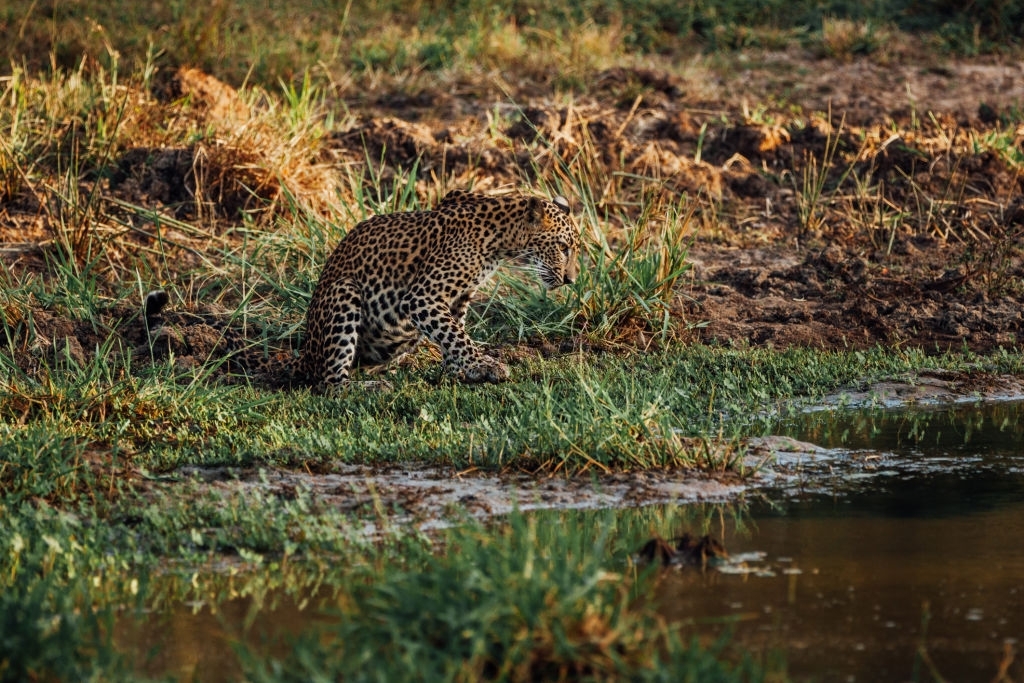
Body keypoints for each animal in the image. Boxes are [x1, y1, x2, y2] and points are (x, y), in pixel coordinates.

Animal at [298, 189, 581, 390]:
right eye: (562, 247)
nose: (570, 280)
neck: (501, 238)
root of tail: (305, 358)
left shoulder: (458, 298)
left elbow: (452, 332)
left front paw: (458, 372)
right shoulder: (422, 297)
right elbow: (457, 336)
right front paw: (484, 365)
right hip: (344, 291)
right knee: (328, 383)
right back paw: (371, 387)